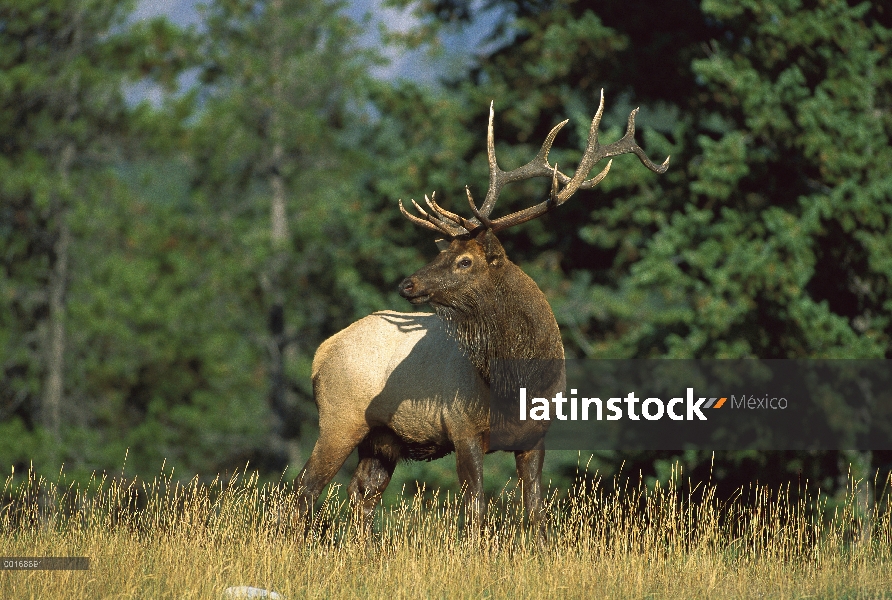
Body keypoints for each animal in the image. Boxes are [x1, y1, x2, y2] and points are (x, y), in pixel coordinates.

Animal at [294, 91, 668, 532]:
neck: (520, 383)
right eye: (443, 253)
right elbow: (476, 509)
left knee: (362, 494)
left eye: (464, 261)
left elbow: (535, 511)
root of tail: (321, 354)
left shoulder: (536, 436)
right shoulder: (463, 427)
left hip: (382, 437)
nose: (407, 284)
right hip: (340, 418)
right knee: (305, 487)